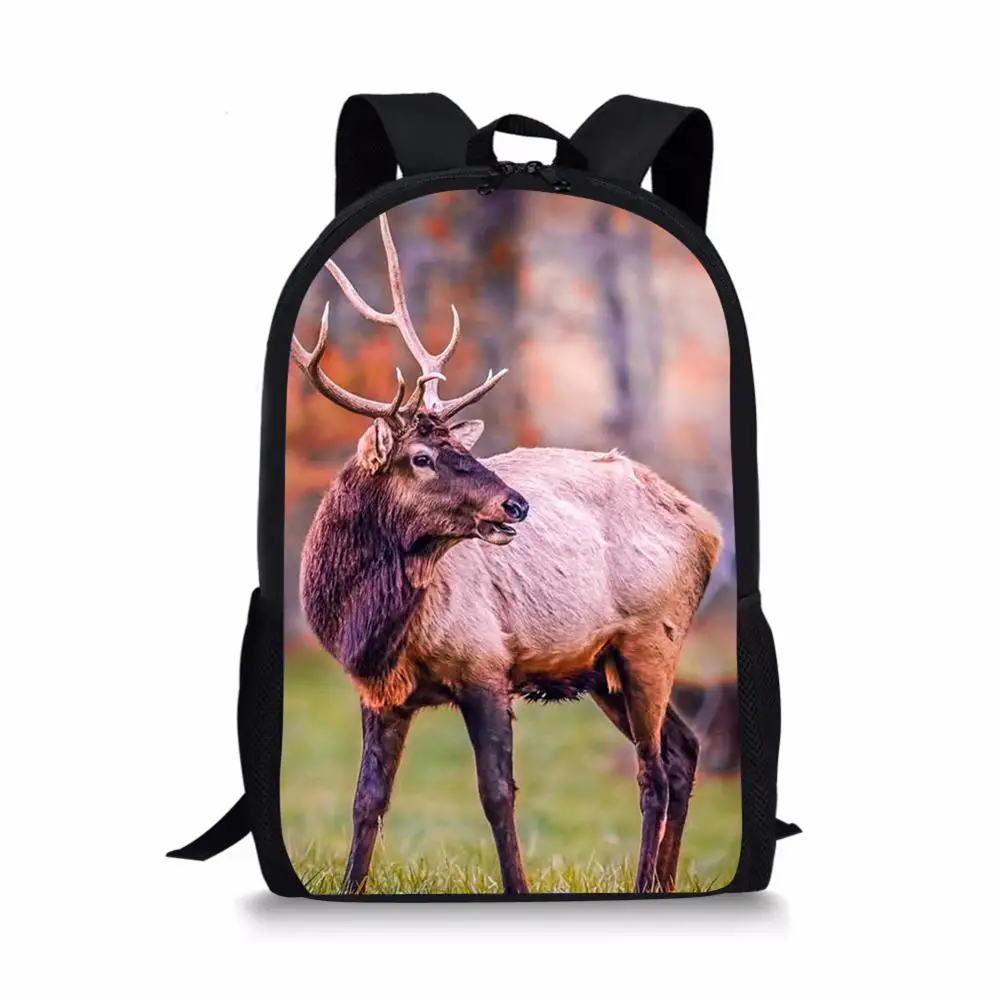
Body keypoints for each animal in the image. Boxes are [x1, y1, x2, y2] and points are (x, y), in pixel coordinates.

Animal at [292, 214, 722, 895]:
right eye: (422, 456)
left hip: (653, 639)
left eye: (462, 450)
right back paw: (663, 882)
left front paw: (517, 887)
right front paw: (349, 888)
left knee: (652, 770)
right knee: (683, 751)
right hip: (604, 667)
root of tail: (710, 527)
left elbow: (497, 795)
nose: (515, 504)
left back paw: (644, 884)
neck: (365, 625)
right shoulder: (378, 693)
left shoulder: (485, 665)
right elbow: (367, 801)